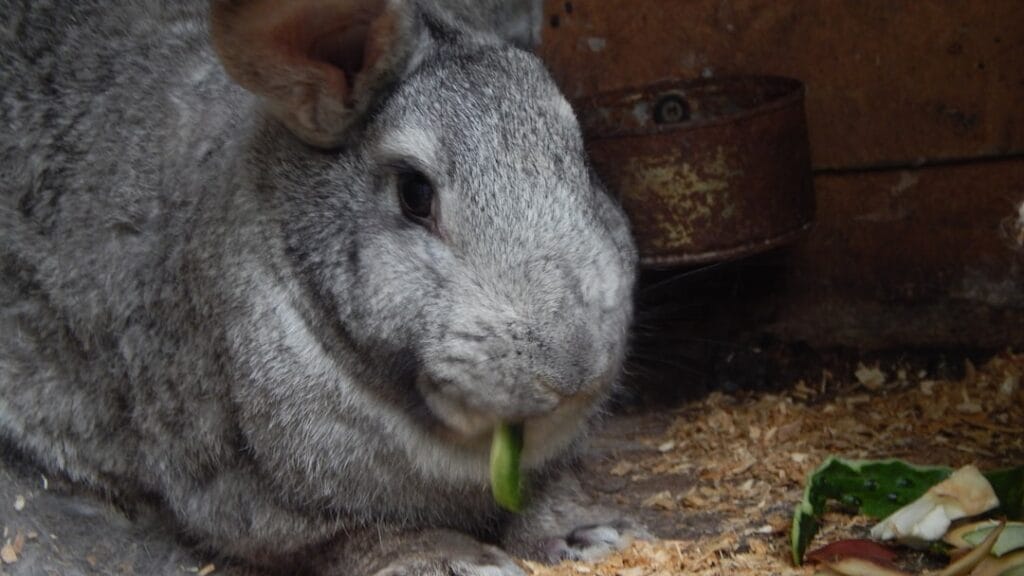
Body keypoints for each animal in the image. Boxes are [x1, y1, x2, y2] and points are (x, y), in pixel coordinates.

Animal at [0, 1, 640, 574]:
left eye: (580, 160)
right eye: (414, 193)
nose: (575, 370)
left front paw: (588, 535)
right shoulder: (235, 485)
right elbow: (350, 536)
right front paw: (456, 561)